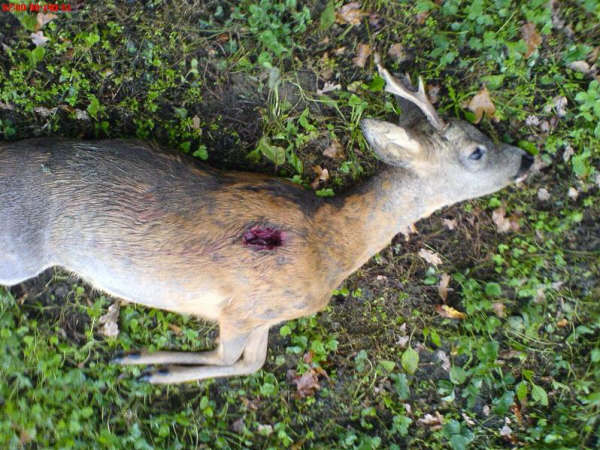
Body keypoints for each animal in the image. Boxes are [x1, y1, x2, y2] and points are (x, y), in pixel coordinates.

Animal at [0, 58, 536, 384]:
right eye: (476, 151)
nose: (526, 159)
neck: (333, 244)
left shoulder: (266, 316)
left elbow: (252, 363)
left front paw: (141, 362)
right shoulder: (245, 306)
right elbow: (230, 357)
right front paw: (151, 368)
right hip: (18, 254)